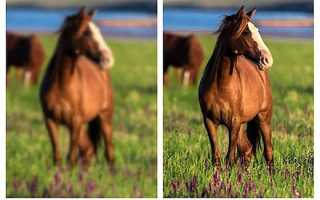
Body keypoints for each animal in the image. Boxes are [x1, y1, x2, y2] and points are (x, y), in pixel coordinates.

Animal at [39, 7, 115, 169]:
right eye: (86, 32)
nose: (107, 58)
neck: (62, 84)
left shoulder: (75, 122)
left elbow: (71, 157)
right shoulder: (50, 121)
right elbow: (57, 156)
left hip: (105, 118)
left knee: (109, 152)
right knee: (88, 149)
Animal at [199, 6, 274, 169]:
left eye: (257, 30)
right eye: (245, 32)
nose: (267, 60)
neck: (221, 85)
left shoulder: (234, 123)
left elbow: (230, 158)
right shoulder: (209, 122)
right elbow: (217, 157)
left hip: (263, 119)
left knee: (268, 153)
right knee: (247, 151)